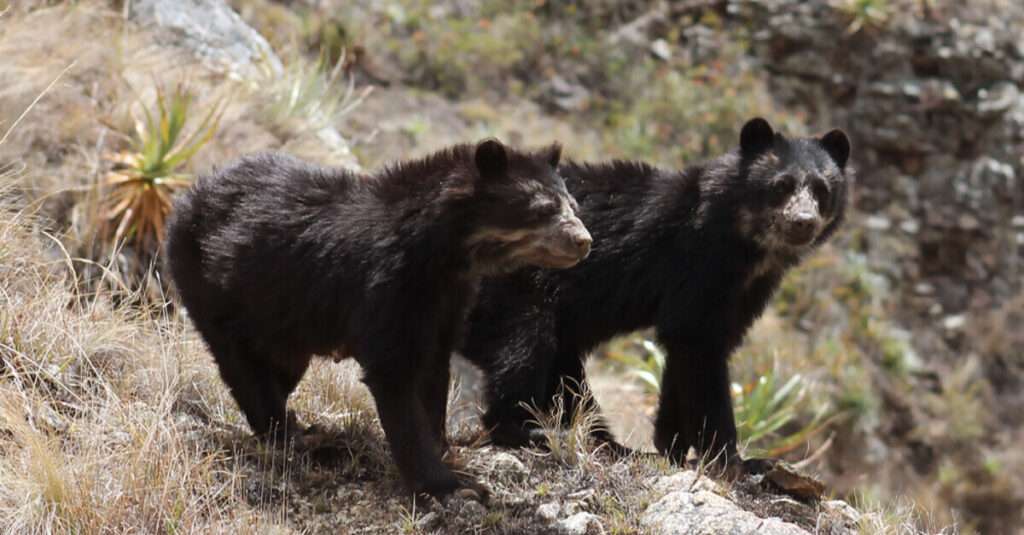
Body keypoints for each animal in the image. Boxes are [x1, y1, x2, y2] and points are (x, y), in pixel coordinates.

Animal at [164, 139, 592, 500]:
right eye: (542, 208)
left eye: (574, 205)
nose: (583, 241)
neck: (444, 257)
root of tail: (187, 197)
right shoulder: (387, 287)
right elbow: (394, 377)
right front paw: (449, 486)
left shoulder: (447, 304)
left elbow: (433, 375)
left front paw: (446, 451)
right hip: (211, 285)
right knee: (241, 367)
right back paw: (285, 434)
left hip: (281, 319)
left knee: (279, 367)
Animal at [460, 118, 851, 474]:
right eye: (780, 185)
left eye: (822, 189)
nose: (803, 221)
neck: (747, 245)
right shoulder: (697, 264)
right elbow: (698, 346)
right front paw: (731, 460)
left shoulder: (748, 289)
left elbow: (693, 352)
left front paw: (673, 446)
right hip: (512, 290)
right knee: (524, 348)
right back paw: (524, 429)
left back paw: (607, 443)